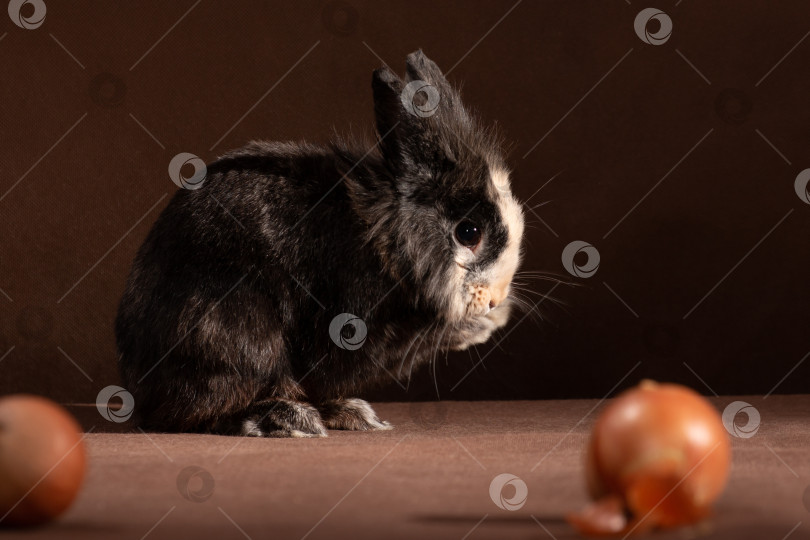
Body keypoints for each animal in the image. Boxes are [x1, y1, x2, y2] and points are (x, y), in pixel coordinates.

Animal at [117, 50, 528, 436]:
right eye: (468, 232)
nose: (496, 300)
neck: (387, 242)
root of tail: (139, 389)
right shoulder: (349, 326)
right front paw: (479, 324)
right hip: (236, 333)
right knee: (196, 413)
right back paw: (282, 419)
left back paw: (350, 414)